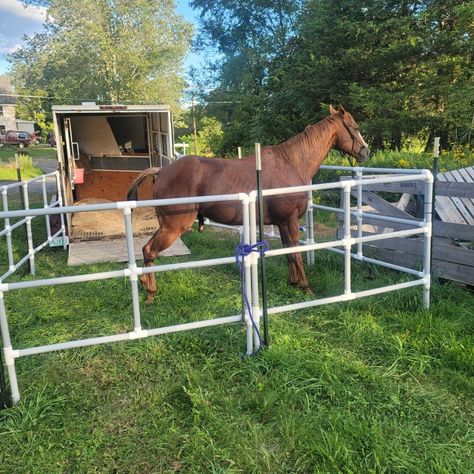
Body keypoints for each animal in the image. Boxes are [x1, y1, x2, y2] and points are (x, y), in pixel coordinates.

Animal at [127, 105, 370, 304]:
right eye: (355, 127)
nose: (366, 151)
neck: (291, 163)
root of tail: (162, 170)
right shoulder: (289, 221)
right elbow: (296, 253)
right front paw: (305, 287)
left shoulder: (282, 223)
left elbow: (289, 253)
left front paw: (293, 283)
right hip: (173, 227)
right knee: (149, 251)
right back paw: (150, 292)